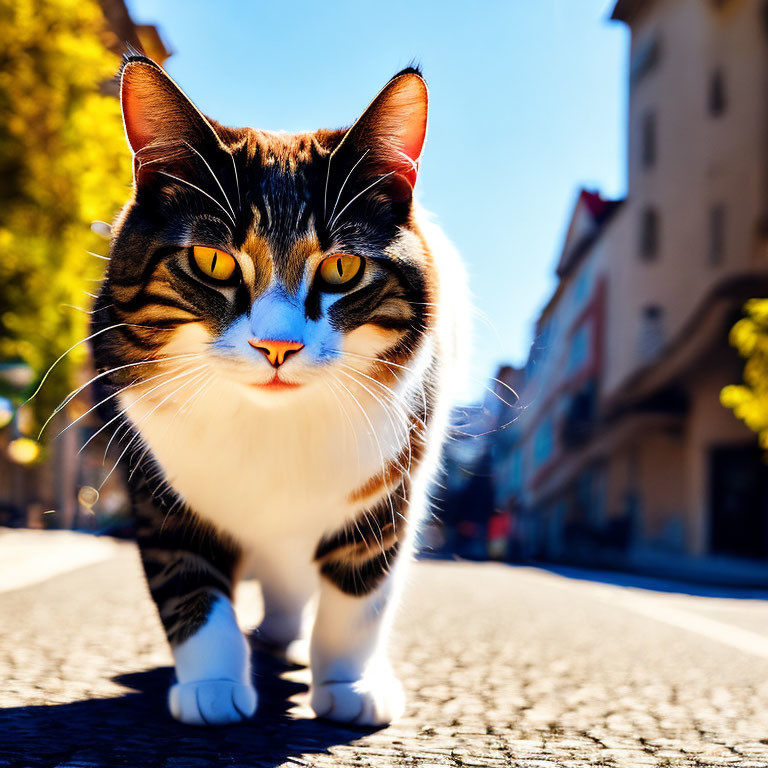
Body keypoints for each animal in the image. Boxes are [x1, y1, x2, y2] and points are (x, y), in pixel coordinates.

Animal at [88, 55, 468, 728]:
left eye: (343, 267)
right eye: (212, 260)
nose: (276, 346)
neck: (269, 422)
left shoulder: (391, 477)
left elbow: (360, 590)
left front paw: (348, 683)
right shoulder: (154, 476)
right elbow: (187, 581)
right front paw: (212, 685)